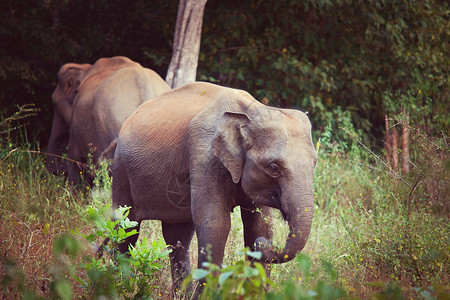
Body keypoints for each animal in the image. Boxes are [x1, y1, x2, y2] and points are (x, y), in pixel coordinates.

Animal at [110, 81, 318, 292]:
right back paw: (117, 284)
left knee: (177, 237)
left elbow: (259, 225)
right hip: (120, 170)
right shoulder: (205, 156)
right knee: (126, 227)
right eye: (274, 167)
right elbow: (216, 224)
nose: (265, 245)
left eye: (314, 163)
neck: (250, 111)